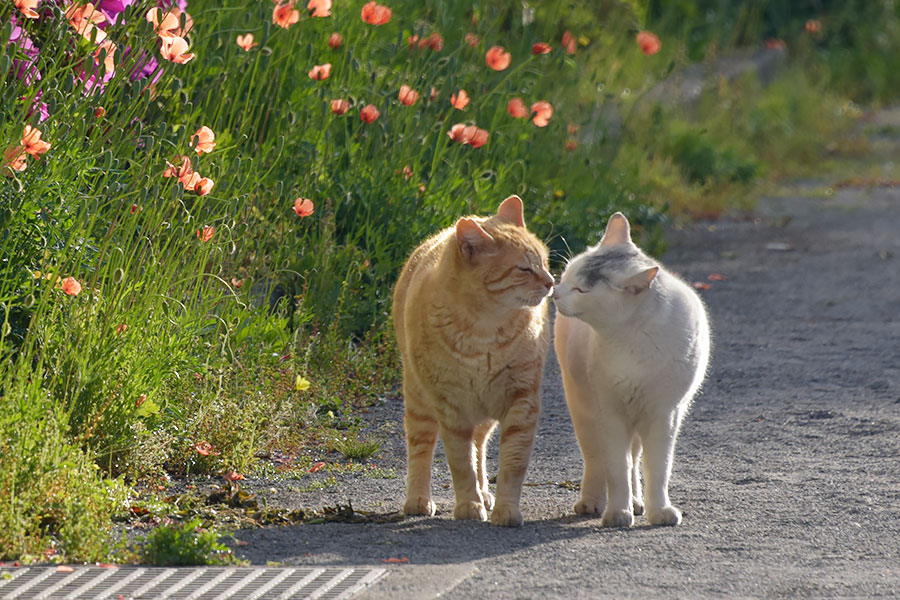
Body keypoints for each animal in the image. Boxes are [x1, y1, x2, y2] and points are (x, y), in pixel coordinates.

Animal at [396, 195, 556, 524]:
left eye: (545, 262)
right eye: (524, 269)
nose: (551, 282)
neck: (484, 332)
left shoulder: (521, 401)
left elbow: (512, 463)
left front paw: (506, 509)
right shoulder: (452, 409)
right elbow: (461, 464)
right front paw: (469, 504)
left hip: (485, 412)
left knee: (480, 447)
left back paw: (485, 492)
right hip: (419, 401)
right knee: (420, 450)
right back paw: (418, 498)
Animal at [548, 211, 712, 524]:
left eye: (580, 289)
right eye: (566, 276)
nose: (555, 292)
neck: (633, 340)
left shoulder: (664, 415)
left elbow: (657, 469)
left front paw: (658, 510)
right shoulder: (610, 413)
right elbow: (616, 469)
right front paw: (617, 512)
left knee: (635, 459)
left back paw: (637, 501)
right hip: (585, 411)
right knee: (597, 460)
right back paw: (593, 501)